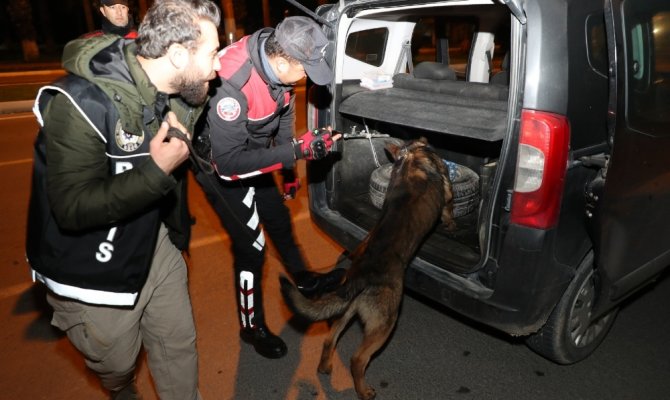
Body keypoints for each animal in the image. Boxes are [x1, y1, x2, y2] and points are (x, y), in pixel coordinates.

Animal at [278, 136, 456, 398]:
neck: (410, 154)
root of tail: (360, 276)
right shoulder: (447, 194)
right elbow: (449, 209)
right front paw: (451, 224)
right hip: (385, 322)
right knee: (358, 359)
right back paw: (363, 391)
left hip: (348, 309)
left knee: (329, 339)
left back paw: (325, 366)